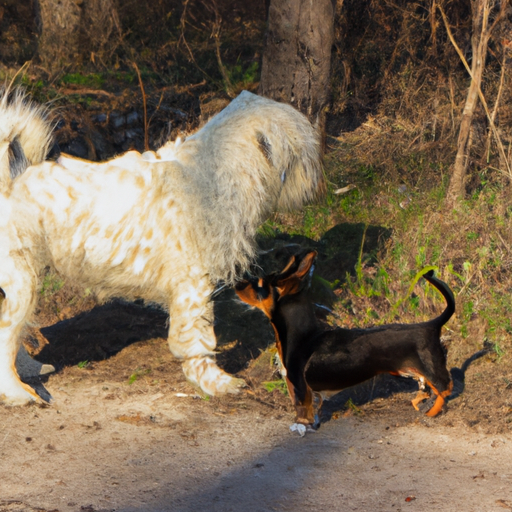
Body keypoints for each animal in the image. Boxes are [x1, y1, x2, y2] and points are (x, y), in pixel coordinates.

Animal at [0, 90, 320, 406]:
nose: (315, 183)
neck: (216, 169)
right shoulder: (193, 285)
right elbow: (198, 340)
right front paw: (216, 383)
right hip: (21, 281)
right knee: (7, 335)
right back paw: (18, 393)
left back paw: (31, 369)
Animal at [234, 252, 454, 428]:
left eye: (259, 285)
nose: (237, 282)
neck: (303, 336)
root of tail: (432, 324)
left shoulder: (299, 388)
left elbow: (302, 411)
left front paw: (302, 426)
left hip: (430, 368)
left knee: (446, 388)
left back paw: (432, 410)